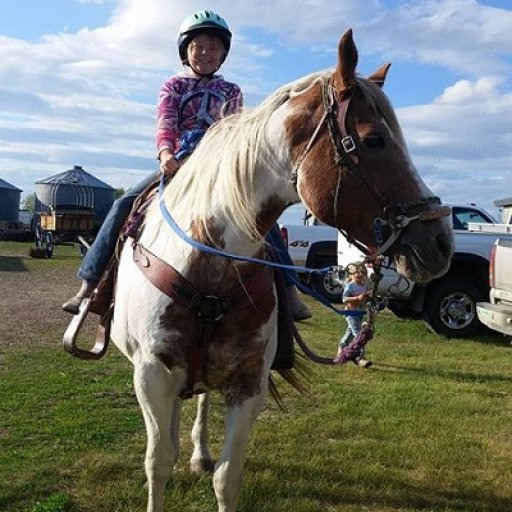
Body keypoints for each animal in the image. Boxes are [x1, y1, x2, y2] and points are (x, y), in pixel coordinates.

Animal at [108, 30, 452, 510]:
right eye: (373, 139)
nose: (441, 242)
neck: (207, 274)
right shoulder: (151, 374)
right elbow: (157, 465)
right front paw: (165, 467)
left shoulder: (248, 384)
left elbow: (227, 478)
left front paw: (205, 463)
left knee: (198, 403)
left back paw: (197, 454)